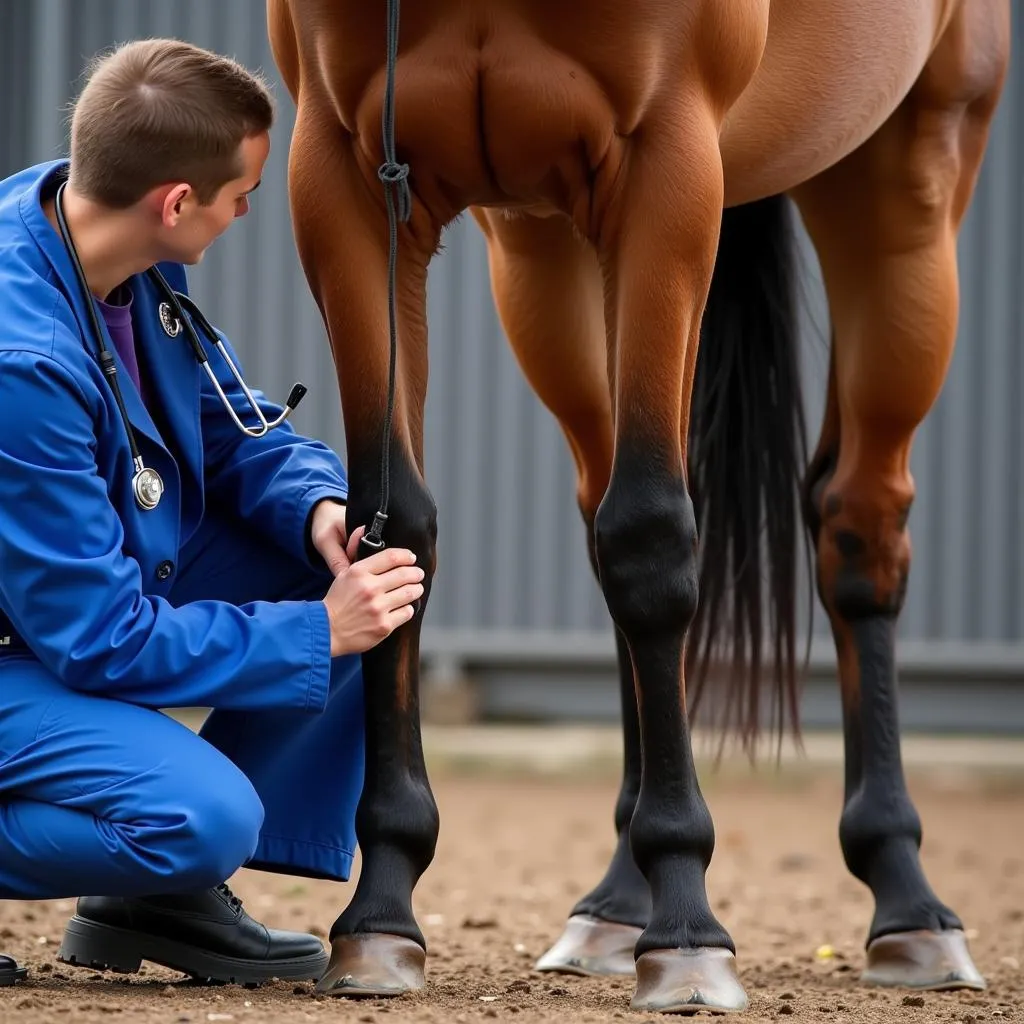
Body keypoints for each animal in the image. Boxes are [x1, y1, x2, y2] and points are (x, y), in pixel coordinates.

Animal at [268, 0, 1011, 1011]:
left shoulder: (670, 173)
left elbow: (654, 539)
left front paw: (689, 931)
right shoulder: (343, 180)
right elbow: (391, 529)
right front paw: (379, 912)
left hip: (905, 190)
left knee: (859, 528)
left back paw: (909, 906)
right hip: (542, 253)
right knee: (603, 515)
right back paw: (618, 906)